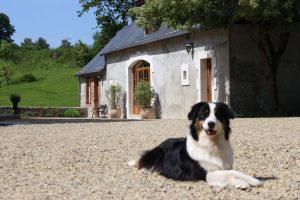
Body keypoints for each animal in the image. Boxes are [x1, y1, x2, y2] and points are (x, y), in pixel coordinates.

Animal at [127, 102, 262, 188]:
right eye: (204, 114)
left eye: (218, 115)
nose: (211, 124)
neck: (212, 144)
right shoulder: (207, 174)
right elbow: (231, 173)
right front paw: (246, 182)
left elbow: (233, 172)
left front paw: (249, 181)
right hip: (157, 153)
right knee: (141, 161)